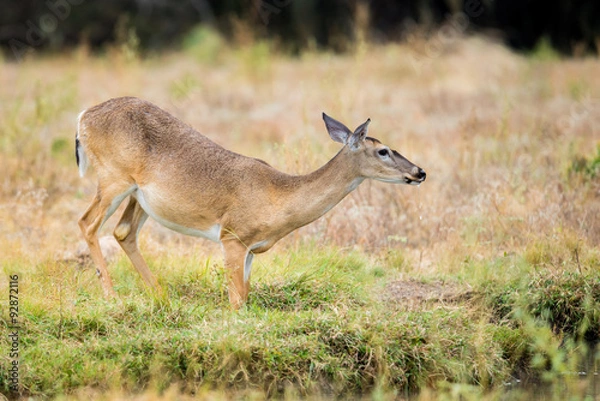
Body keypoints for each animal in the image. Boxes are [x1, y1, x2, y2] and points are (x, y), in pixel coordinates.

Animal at [77, 96, 426, 306]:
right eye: (383, 150)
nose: (419, 172)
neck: (278, 195)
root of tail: (83, 117)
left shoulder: (250, 250)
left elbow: (245, 296)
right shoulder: (231, 236)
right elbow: (236, 302)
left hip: (139, 196)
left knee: (123, 232)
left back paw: (160, 294)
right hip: (113, 178)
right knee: (88, 223)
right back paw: (111, 295)